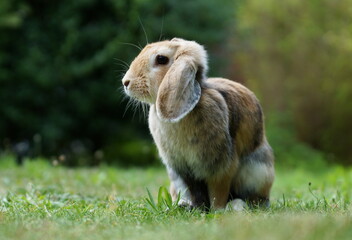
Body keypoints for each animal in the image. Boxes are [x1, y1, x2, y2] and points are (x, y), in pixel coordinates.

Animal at [121, 38, 276, 210]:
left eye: (161, 59)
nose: (126, 82)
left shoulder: (220, 167)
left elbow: (218, 193)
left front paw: (217, 211)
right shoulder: (182, 169)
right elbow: (195, 190)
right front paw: (196, 208)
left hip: (257, 172)